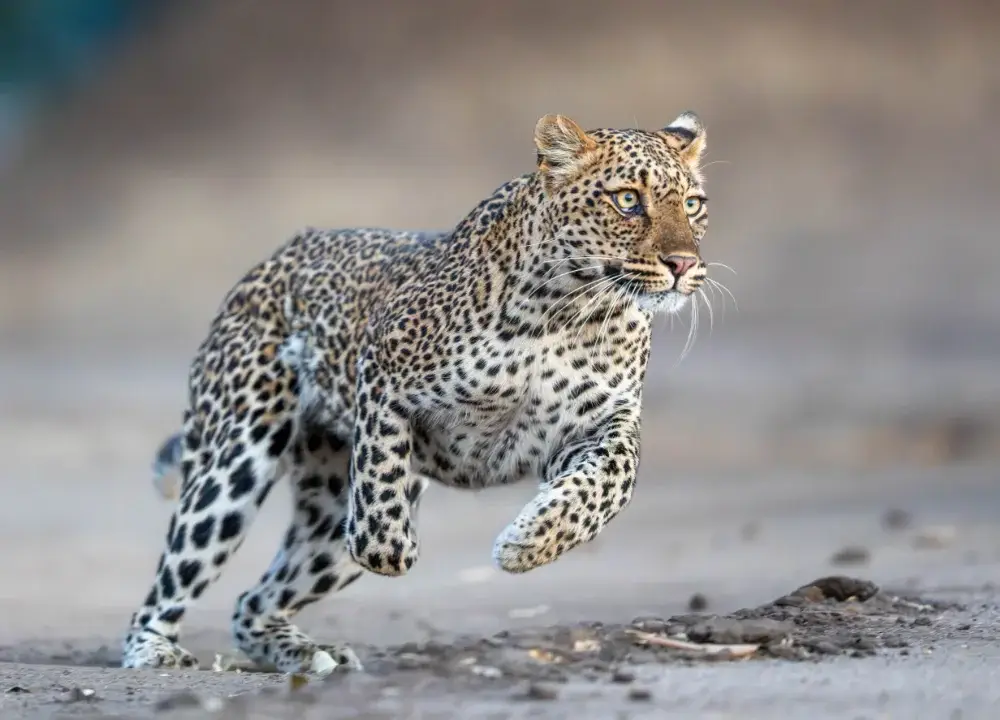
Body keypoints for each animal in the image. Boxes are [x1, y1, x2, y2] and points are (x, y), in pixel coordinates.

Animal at [121, 111, 713, 675]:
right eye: (628, 200)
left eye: (693, 204)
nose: (683, 264)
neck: (572, 312)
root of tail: (270, 261)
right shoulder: (382, 369)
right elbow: (380, 482)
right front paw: (389, 548)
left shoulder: (599, 422)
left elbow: (613, 482)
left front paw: (529, 543)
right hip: (236, 455)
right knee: (179, 572)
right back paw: (155, 650)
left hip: (325, 510)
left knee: (252, 602)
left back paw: (313, 656)